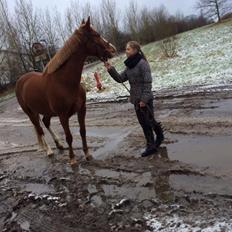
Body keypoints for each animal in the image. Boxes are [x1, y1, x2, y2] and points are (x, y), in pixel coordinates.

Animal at [15, 16, 116, 165]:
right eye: (96, 35)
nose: (113, 49)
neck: (64, 82)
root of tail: (21, 80)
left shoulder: (82, 109)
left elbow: (83, 131)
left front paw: (87, 154)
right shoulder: (62, 116)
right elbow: (69, 136)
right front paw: (72, 159)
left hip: (47, 111)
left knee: (45, 123)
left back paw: (59, 144)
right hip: (31, 113)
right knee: (39, 129)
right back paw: (49, 150)